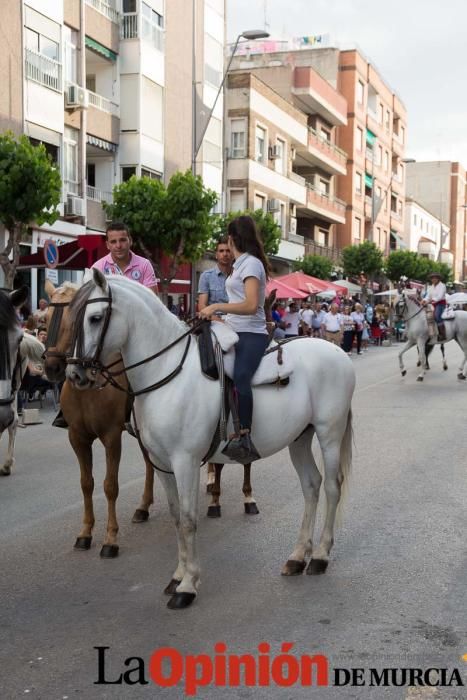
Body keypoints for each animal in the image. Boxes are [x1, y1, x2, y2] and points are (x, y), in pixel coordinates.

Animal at [43, 278, 155, 556]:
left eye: (74, 320)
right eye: (45, 318)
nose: (52, 368)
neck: (87, 390)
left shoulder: (111, 437)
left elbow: (110, 485)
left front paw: (110, 539)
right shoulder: (77, 438)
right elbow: (87, 483)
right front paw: (85, 533)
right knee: (150, 463)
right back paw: (143, 508)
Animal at [67, 270, 356, 608]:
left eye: (96, 318)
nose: (75, 375)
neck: (166, 373)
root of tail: (337, 352)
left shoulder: (186, 461)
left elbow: (189, 519)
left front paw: (187, 585)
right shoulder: (162, 464)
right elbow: (177, 517)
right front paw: (177, 576)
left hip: (329, 433)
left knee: (332, 487)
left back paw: (320, 556)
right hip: (299, 437)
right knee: (311, 486)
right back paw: (298, 557)